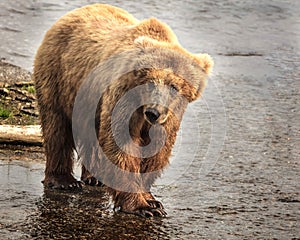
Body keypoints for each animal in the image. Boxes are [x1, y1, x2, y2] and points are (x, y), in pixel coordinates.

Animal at [33, 3, 213, 218]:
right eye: (150, 82)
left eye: (174, 86)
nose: (153, 112)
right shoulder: (124, 96)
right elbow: (121, 144)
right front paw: (141, 206)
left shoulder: (170, 116)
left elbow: (155, 150)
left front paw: (152, 201)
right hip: (60, 77)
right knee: (57, 127)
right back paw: (63, 181)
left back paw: (94, 178)